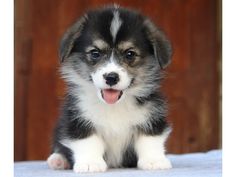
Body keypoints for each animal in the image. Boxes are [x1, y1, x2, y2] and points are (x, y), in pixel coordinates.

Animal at [47, 4, 173, 172]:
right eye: (95, 53)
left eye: (130, 54)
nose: (111, 77)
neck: (114, 106)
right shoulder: (78, 119)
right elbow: (88, 141)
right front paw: (90, 163)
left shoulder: (152, 116)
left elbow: (150, 139)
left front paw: (154, 161)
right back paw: (58, 160)